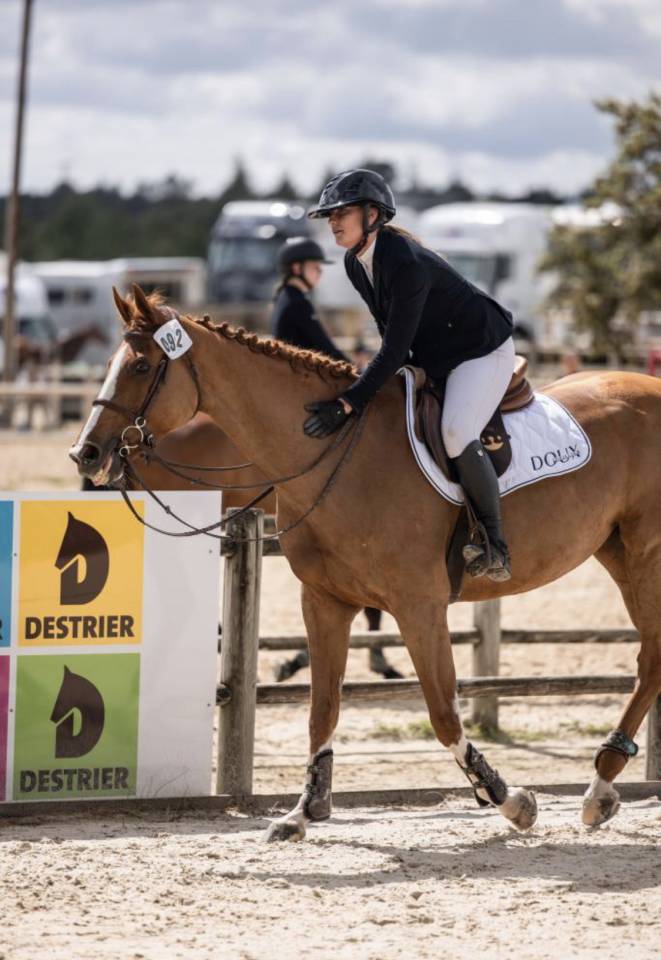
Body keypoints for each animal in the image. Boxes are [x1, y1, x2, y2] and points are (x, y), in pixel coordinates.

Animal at [70, 285, 661, 840]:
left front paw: (508, 799)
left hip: (643, 555)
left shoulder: (420, 607)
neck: (334, 454)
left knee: (649, 657)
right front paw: (303, 812)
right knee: (650, 659)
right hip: (616, 551)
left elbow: (443, 713)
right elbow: (322, 708)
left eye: (142, 366)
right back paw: (602, 787)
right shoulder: (326, 601)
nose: (86, 455)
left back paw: (599, 783)